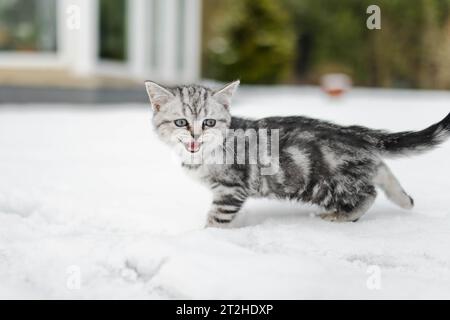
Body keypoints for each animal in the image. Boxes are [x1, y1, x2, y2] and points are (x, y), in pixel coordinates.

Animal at [145, 80, 450, 228]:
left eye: (208, 122)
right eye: (181, 122)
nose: (196, 136)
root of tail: (353, 133)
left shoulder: (230, 189)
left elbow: (216, 219)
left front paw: (206, 238)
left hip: (322, 184)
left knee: (368, 193)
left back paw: (341, 217)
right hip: (357, 166)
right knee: (380, 169)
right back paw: (404, 200)